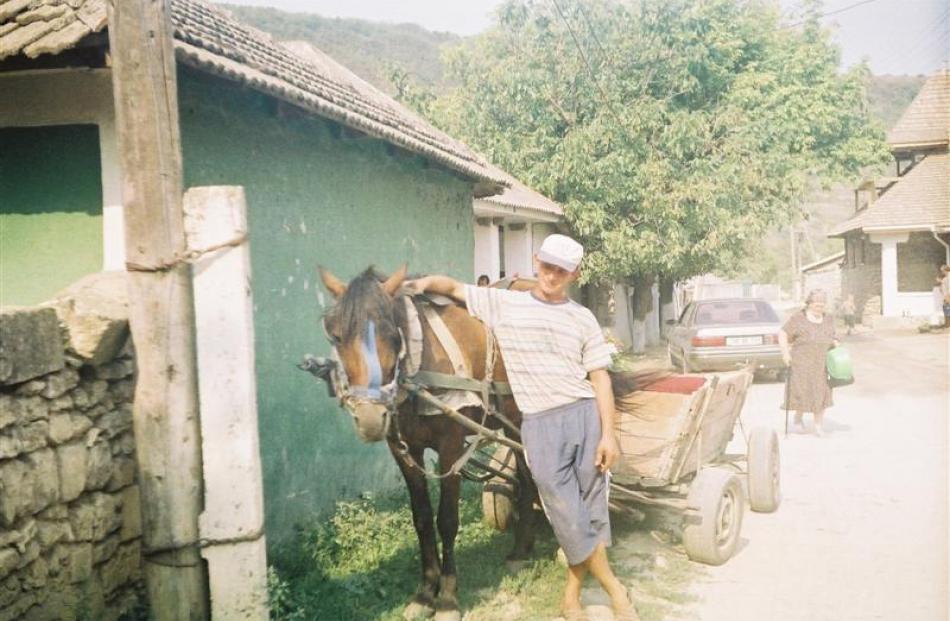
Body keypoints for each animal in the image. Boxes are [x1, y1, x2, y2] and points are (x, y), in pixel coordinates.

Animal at [316, 266, 540, 620]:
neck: (419, 363)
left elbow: (446, 520)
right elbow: (421, 519)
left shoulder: (451, 446)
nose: (369, 417)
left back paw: (521, 549)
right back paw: (523, 547)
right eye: (336, 336)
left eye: (393, 335)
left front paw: (447, 598)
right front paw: (424, 594)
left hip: (522, 418)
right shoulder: (404, 450)